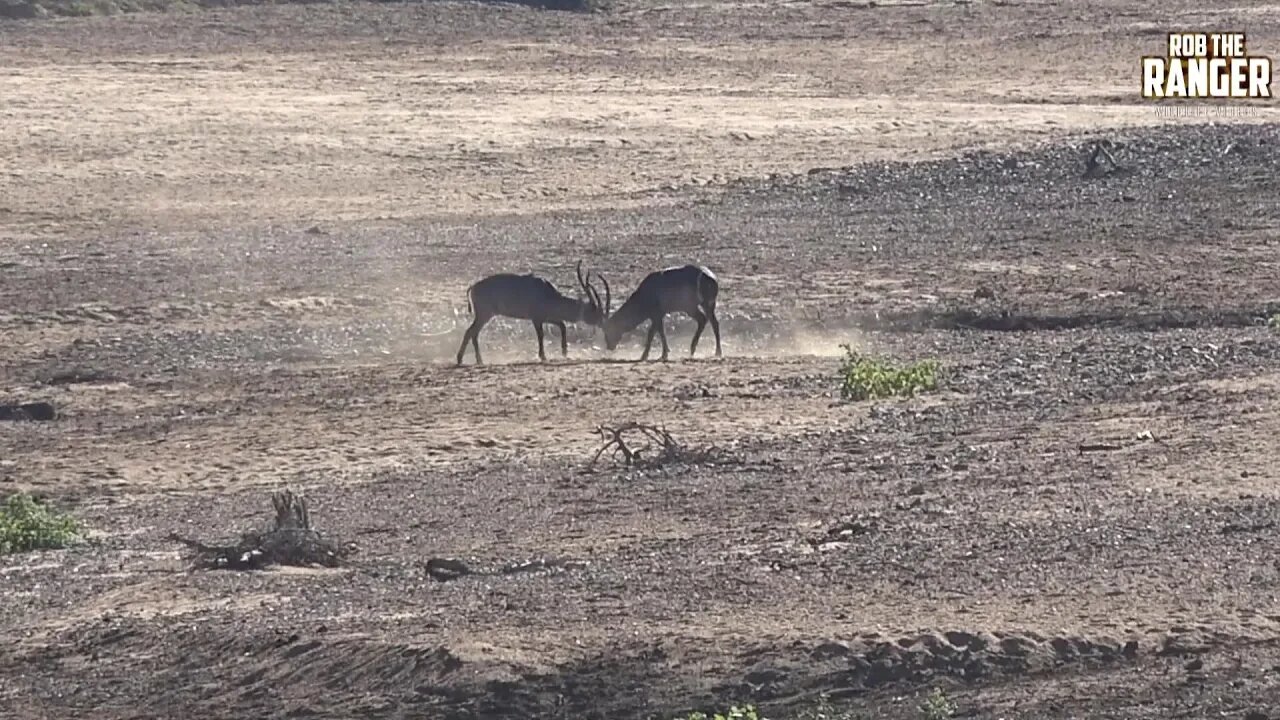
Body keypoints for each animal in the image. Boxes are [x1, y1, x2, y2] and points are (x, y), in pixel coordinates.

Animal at [455, 260, 609, 363]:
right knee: (471, 332)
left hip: (483, 315)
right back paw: (467, 359)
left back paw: (472, 359)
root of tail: (473, 287)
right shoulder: (536, 319)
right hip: (484, 314)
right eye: (596, 312)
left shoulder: (547, 317)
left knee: (472, 333)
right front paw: (543, 356)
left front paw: (564, 352)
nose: (603, 324)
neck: (549, 294)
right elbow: (541, 335)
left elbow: (562, 325)